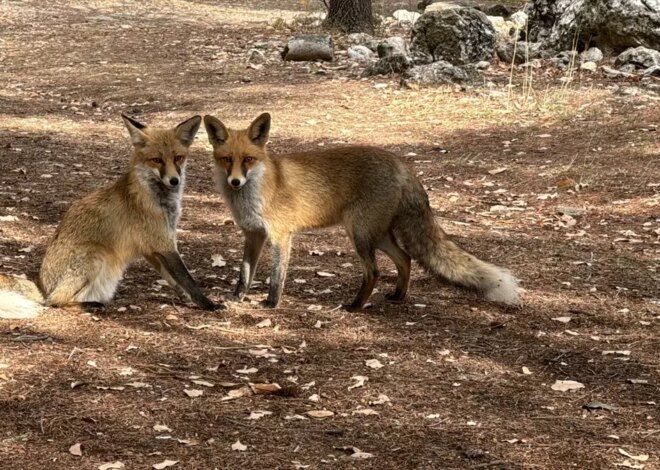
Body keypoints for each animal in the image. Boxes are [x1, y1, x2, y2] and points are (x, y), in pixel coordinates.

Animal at [0, 114, 222, 320]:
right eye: (157, 160)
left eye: (178, 158)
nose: (174, 181)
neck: (157, 196)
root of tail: (40, 283)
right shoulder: (164, 243)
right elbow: (188, 280)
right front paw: (209, 304)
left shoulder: (152, 247)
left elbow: (173, 279)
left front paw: (185, 298)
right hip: (95, 256)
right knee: (53, 301)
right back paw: (91, 304)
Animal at [202, 113, 520, 312]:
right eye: (227, 159)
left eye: (249, 160)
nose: (235, 182)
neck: (253, 194)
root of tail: (401, 164)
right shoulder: (252, 234)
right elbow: (244, 272)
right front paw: (236, 297)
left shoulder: (281, 235)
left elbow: (276, 275)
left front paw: (271, 303)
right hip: (376, 234)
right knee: (405, 259)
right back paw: (398, 296)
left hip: (360, 234)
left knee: (375, 271)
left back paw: (356, 306)